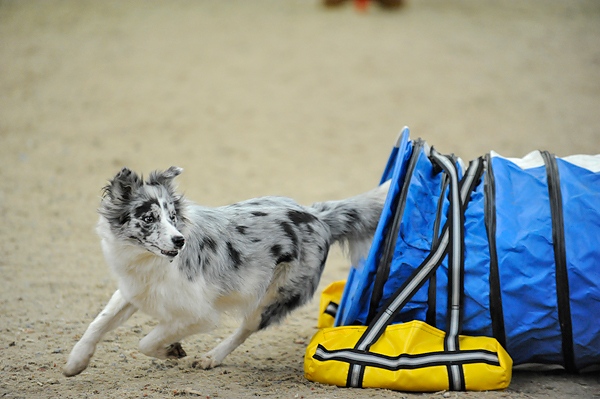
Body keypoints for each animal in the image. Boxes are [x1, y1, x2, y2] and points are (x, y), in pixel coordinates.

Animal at [62, 166, 390, 378]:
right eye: (149, 218)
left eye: (172, 217)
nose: (179, 241)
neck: (148, 261)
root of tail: (318, 216)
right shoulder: (134, 291)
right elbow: (98, 323)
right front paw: (76, 362)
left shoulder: (199, 314)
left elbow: (147, 341)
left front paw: (172, 351)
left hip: (274, 296)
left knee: (246, 328)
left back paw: (211, 358)